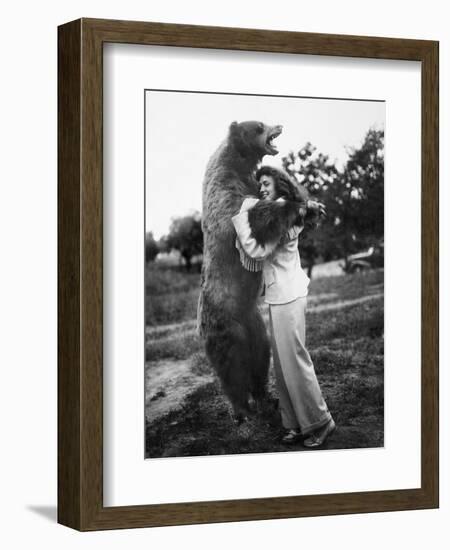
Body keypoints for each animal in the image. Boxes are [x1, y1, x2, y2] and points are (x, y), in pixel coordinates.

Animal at [200, 119, 308, 426]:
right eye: (259, 126)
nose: (278, 124)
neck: (237, 162)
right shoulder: (225, 196)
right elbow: (250, 217)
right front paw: (295, 205)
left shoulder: (247, 182)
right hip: (226, 323)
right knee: (232, 368)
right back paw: (242, 411)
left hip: (255, 322)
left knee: (261, 355)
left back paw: (266, 399)